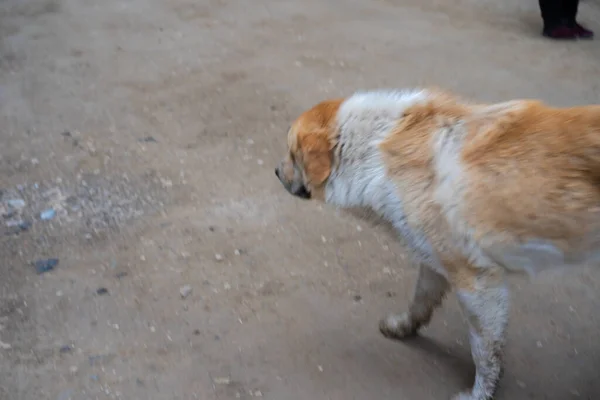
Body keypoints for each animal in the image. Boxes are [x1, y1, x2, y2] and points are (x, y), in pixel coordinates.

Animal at [276, 88, 600, 400]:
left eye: (292, 154)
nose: (276, 172)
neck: (372, 148)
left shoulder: (477, 282)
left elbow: (486, 350)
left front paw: (480, 394)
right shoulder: (435, 260)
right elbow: (421, 300)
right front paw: (403, 327)